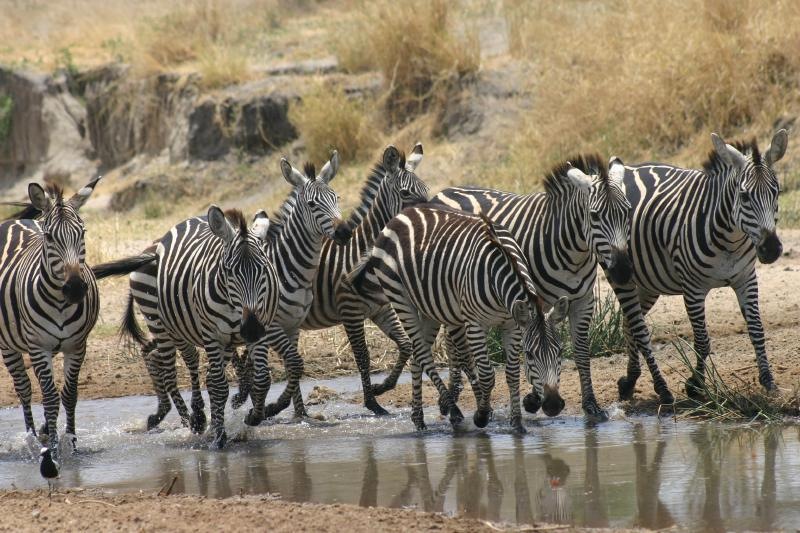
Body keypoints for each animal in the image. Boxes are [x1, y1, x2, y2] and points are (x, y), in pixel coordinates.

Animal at [0, 177, 101, 457]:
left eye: (82, 233)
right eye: (49, 237)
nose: (75, 288)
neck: (60, 303)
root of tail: (16, 222)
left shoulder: (77, 345)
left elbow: (69, 394)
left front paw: (71, 441)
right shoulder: (38, 346)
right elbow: (50, 396)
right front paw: (53, 446)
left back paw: (44, 431)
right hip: (10, 346)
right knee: (24, 388)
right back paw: (33, 439)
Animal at [235, 144, 429, 417]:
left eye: (426, 189)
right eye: (405, 192)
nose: (428, 216)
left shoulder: (380, 309)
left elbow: (405, 345)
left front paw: (382, 387)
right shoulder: (350, 310)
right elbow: (362, 356)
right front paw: (372, 402)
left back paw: (290, 410)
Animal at [342, 205, 569, 433]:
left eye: (559, 352)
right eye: (530, 355)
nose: (553, 405)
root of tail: (404, 213)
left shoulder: (512, 325)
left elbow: (512, 373)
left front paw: (517, 423)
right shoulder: (474, 323)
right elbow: (487, 375)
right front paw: (481, 415)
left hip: (429, 308)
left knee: (418, 352)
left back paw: (418, 418)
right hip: (399, 296)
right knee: (424, 355)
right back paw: (452, 411)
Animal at [428, 155, 650, 421]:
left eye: (627, 211)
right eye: (594, 216)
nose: (623, 271)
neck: (573, 252)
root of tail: (443, 191)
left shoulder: (583, 301)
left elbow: (581, 352)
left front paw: (591, 406)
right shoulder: (530, 299)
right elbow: (533, 346)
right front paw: (534, 399)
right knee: (454, 344)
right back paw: (451, 402)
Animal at [611, 130, 788, 400]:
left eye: (776, 192)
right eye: (744, 196)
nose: (771, 249)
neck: (731, 240)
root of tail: (628, 167)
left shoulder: (746, 279)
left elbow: (757, 330)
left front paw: (768, 381)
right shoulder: (693, 289)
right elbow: (703, 341)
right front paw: (695, 385)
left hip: (647, 282)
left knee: (629, 324)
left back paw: (629, 381)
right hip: (621, 275)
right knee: (635, 325)